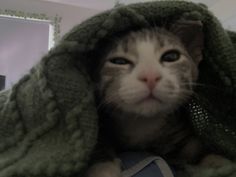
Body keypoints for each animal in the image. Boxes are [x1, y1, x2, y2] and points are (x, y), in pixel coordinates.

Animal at [86, 20, 230, 176]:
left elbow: (197, 149)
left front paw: (218, 162)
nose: (150, 76)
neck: (143, 123)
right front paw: (103, 168)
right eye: (119, 61)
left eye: (171, 56)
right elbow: (97, 142)